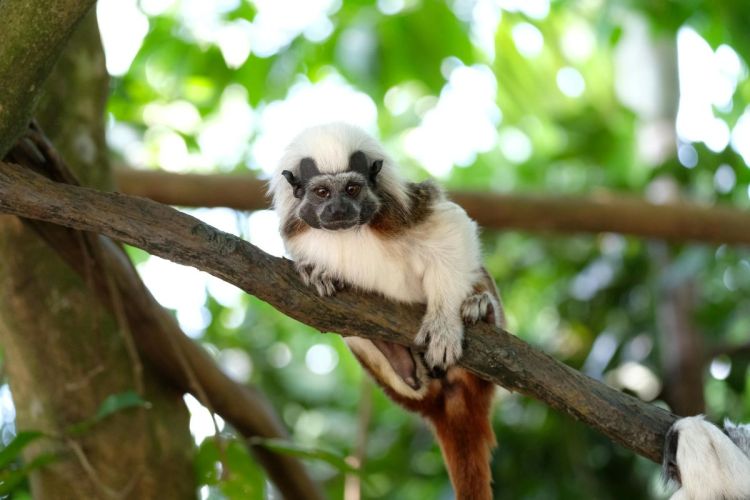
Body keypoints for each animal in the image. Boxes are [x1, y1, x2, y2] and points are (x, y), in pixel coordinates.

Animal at [269, 122, 502, 499]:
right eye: (321, 192)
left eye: (351, 189)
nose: (338, 209)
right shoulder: (299, 234)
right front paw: (316, 272)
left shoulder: (403, 211)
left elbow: (450, 223)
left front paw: (444, 324)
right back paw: (402, 362)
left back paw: (482, 311)